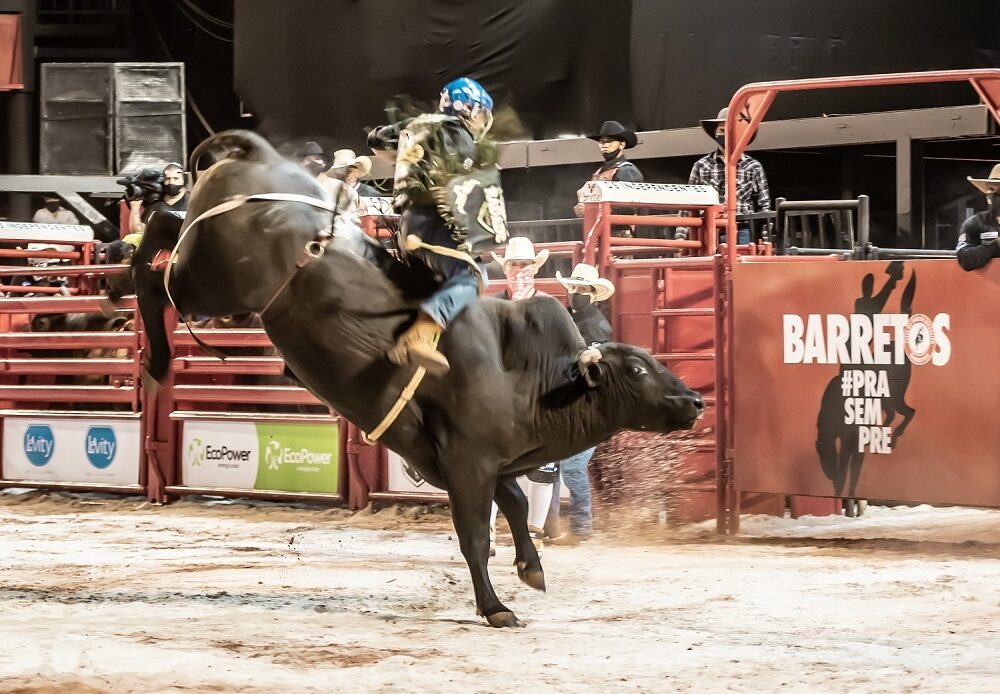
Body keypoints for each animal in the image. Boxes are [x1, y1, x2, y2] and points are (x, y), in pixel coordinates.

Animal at [131, 132, 704, 632]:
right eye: (636, 370)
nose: (695, 399)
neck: (529, 378)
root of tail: (259, 155)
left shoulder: (489, 461)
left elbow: (517, 506)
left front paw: (531, 569)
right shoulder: (468, 462)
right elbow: (475, 535)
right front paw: (496, 608)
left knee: (165, 228)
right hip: (210, 280)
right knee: (157, 259)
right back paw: (155, 357)